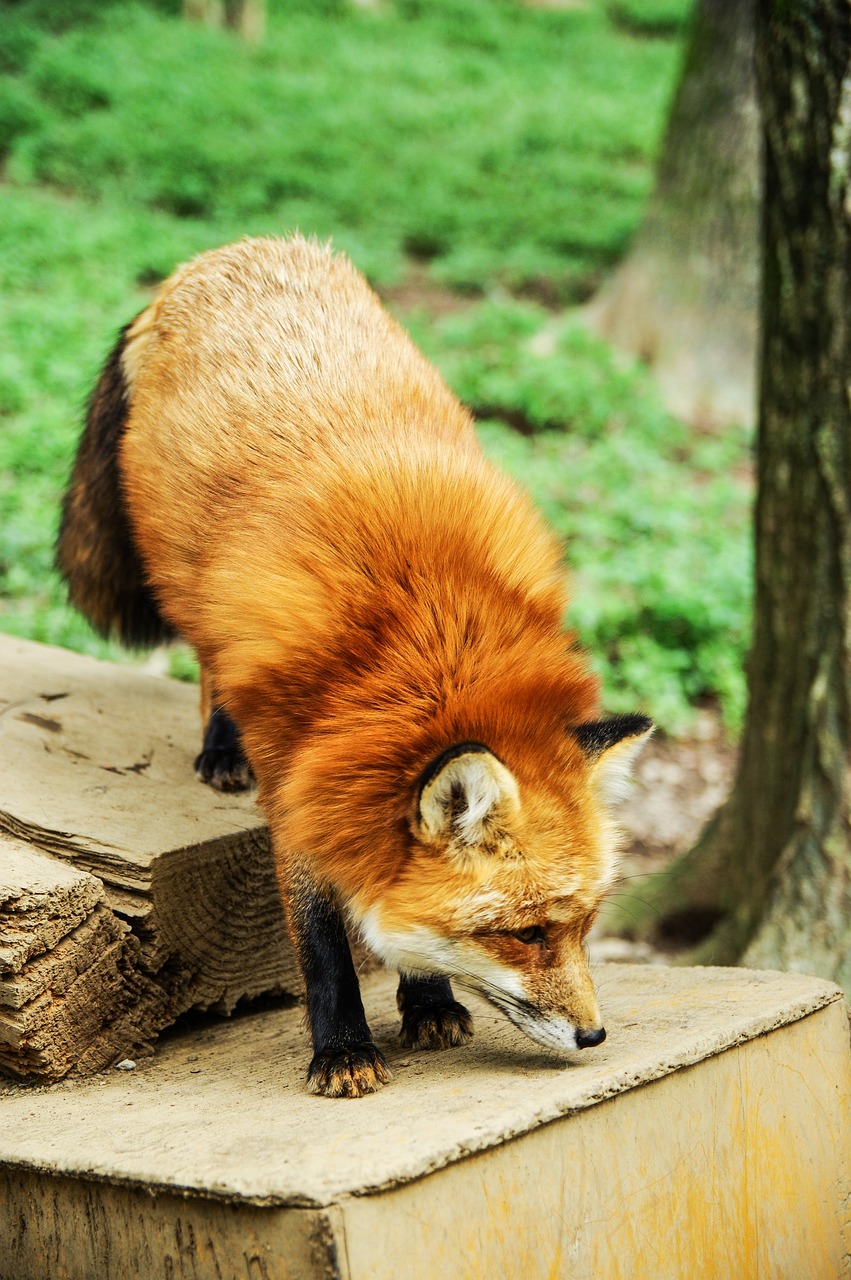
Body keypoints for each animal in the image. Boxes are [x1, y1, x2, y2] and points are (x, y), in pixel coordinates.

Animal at [57, 235, 652, 1098]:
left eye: (583, 926)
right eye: (525, 933)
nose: (593, 1035)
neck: (428, 641)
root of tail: (225, 252)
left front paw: (428, 1001)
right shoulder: (301, 782)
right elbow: (322, 941)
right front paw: (342, 1049)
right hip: (188, 580)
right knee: (207, 665)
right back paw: (219, 748)